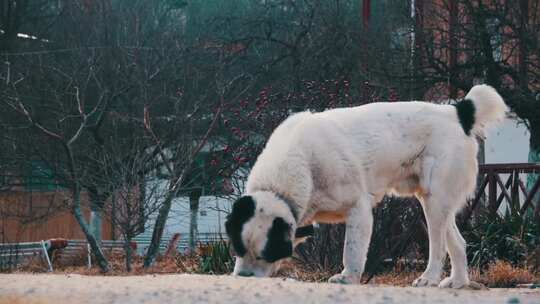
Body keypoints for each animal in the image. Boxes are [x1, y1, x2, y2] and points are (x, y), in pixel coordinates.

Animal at [226, 85, 508, 288]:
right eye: (238, 249)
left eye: (264, 254)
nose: (244, 277)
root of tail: (457, 112)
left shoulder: (357, 209)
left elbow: (351, 250)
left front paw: (348, 277)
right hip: (433, 200)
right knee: (457, 241)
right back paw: (457, 282)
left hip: (436, 198)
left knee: (437, 245)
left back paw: (429, 278)